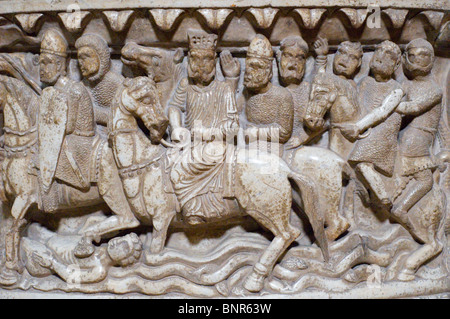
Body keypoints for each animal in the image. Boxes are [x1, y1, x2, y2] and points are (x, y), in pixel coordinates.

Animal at [0, 75, 141, 288]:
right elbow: (16, 226)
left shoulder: (24, 197)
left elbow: (12, 228)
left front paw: (10, 272)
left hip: (111, 185)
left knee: (129, 219)